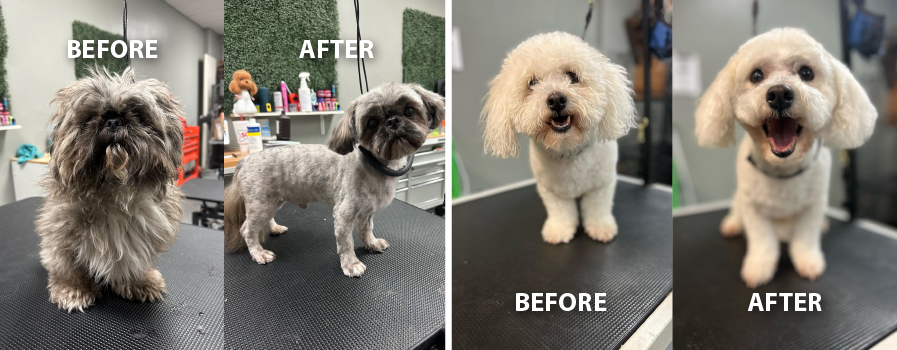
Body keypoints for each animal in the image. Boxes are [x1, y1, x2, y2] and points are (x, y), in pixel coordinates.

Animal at [36, 67, 186, 312]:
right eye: (89, 117)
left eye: (139, 115)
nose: (114, 121)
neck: (114, 191)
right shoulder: (59, 235)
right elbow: (69, 267)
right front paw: (73, 288)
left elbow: (134, 261)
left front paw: (139, 281)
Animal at [226, 83, 442, 278]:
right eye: (372, 122)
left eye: (409, 111)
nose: (393, 122)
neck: (374, 165)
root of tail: (245, 160)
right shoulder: (344, 214)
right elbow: (346, 243)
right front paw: (352, 264)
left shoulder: (367, 212)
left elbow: (366, 230)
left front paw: (372, 244)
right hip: (260, 203)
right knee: (247, 230)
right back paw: (259, 253)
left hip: (272, 200)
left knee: (266, 219)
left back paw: (274, 229)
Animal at [484, 32, 636, 243]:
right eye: (532, 83)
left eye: (572, 76)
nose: (556, 99)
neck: (568, 149)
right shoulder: (551, 191)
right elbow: (561, 212)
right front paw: (559, 230)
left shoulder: (601, 185)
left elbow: (598, 208)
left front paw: (600, 227)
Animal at [692, 28, 876, 288]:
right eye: (756, 75)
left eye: (806, 73)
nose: (779, 93)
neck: (783, 170)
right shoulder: (753, 207)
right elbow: (762, 241)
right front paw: (759, 267)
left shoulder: (813, 205)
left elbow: (806, 237)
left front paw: (808, 261)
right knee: (736, 208)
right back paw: (733, 223)